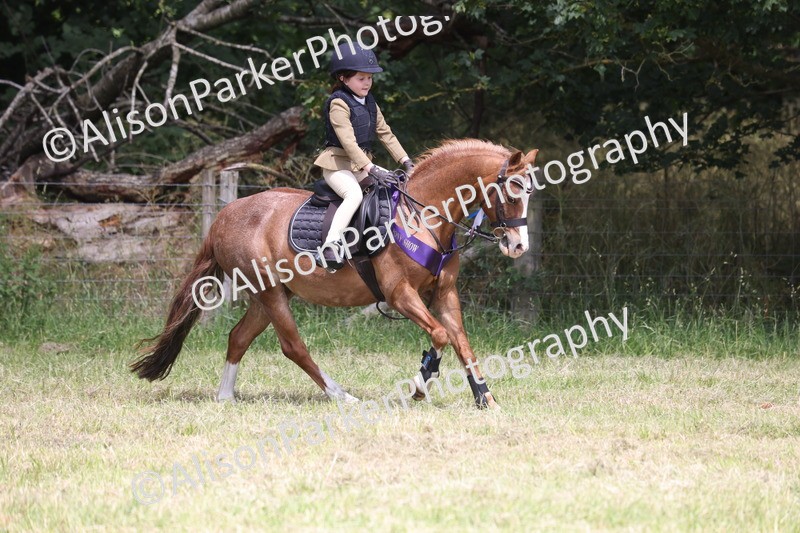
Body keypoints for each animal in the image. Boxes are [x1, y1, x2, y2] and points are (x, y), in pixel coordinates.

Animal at [130, 139, 539, 409]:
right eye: (512, 192)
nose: (518, 246)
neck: (424, 215)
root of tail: (224, 217)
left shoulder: (444, 294)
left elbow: (461, 341)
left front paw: (485, 397)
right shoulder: (399, 295)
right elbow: (439, 335)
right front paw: (421, 385)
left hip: (269, 295)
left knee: (238, 338)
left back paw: (226, 397)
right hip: (271, 294)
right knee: (293, 347)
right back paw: (342, 396)